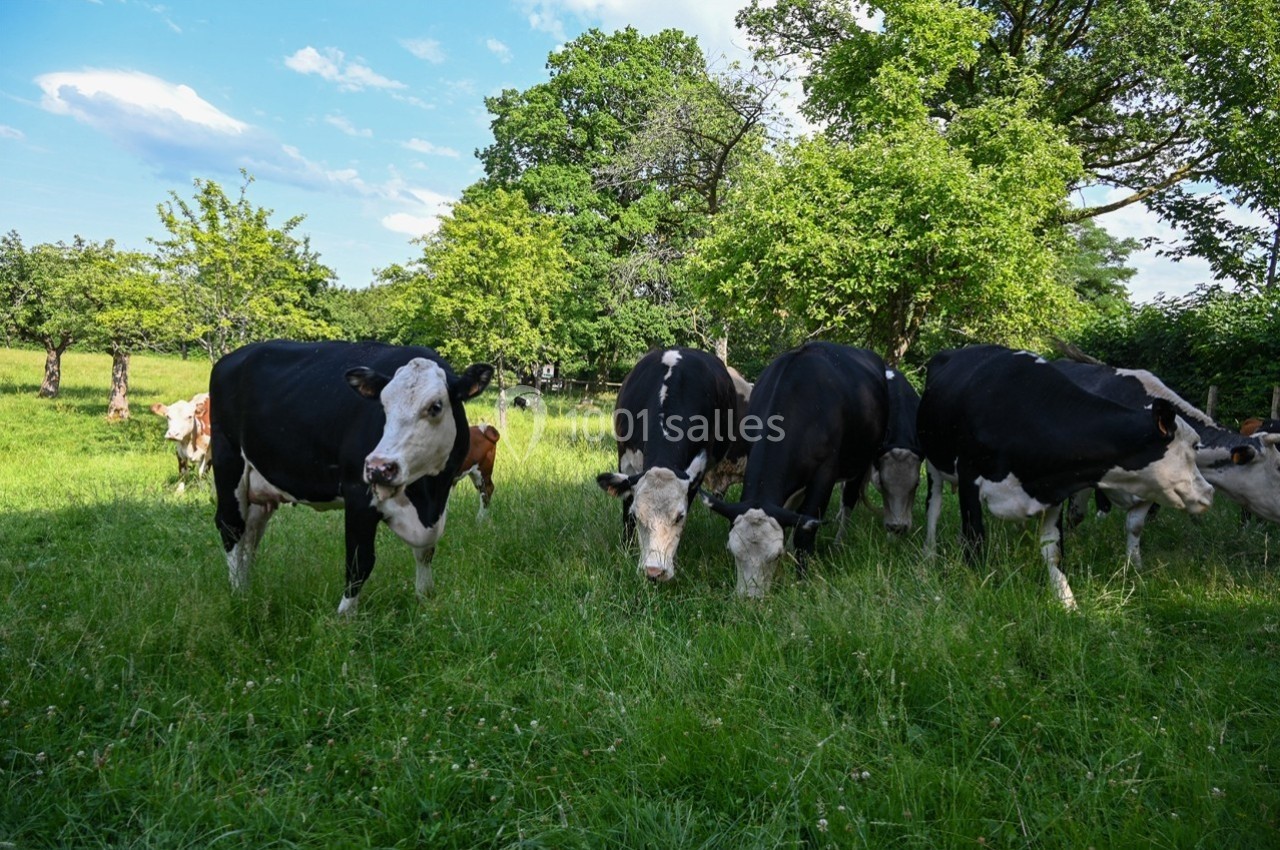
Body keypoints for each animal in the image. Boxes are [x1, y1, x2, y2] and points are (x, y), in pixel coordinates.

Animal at [209, 340, 492, 615]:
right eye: (383, 405)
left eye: (435, 407)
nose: (379, 467)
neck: (427, 495)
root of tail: (233, 357)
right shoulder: (358, 493)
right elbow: (359, 561)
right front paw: (345, 616)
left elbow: (425, 552)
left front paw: (424, 598)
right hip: (228, 462)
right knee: (231, 528)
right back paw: (237, 594)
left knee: (251, 536)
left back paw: (247, 591)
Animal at [596, 347, 745, 583]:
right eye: (638, 516)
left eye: (679, 517)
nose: (654, 572)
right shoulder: (625, 462)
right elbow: (626, 510)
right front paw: (626, 550)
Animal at [703, 342, 889, 597]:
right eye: (733, 552)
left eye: (775, 555)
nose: (749, 599)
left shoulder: (825, 473)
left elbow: (806, 530)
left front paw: (801, 580)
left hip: (861, 460)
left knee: (848, 501)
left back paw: (839, 543)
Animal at [917, 344, 1214, 608]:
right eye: (1194, 446)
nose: (1209, 492)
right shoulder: (969, 479)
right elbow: (975, 540)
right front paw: (975, 586)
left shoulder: (1053, 492)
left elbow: (1054, 552)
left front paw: (1067, 602)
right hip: (933, 462)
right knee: (933, 508)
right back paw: (928, 557)